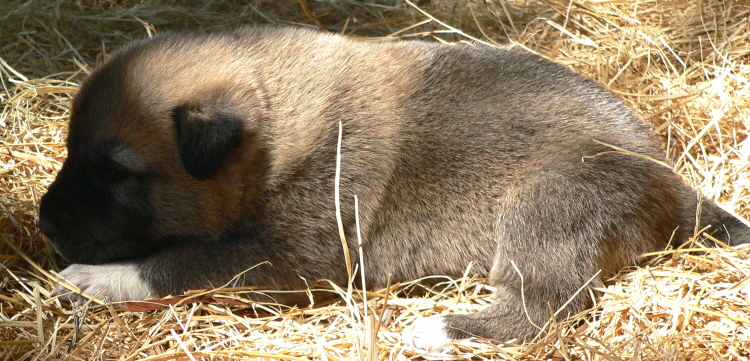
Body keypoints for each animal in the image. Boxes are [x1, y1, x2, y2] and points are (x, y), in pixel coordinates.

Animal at [41, 25, 750, 346]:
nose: (45, 223)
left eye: (117, 172)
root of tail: (677, 186)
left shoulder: (291, 255)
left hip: (549, 201)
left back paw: (442, 329)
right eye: (73, 154)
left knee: (543, 307)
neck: (279, 132)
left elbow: (179, 262)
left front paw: (95, 278)